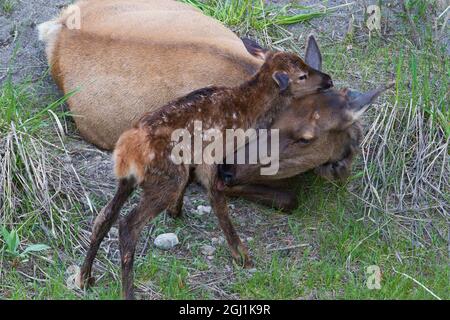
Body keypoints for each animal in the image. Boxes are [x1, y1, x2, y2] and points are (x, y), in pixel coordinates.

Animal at [77, 49, 332, 298]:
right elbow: (217, 198)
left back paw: (85, 278)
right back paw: (126, 291)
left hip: (129, 180)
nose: (328, 79)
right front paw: (242, 256)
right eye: (302, 76)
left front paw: (176, 211)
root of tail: (128, 149)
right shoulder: (213, 155)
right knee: (128, 226)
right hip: (166, 180)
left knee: (103, 217)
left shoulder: (194, 157)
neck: (246, 111)